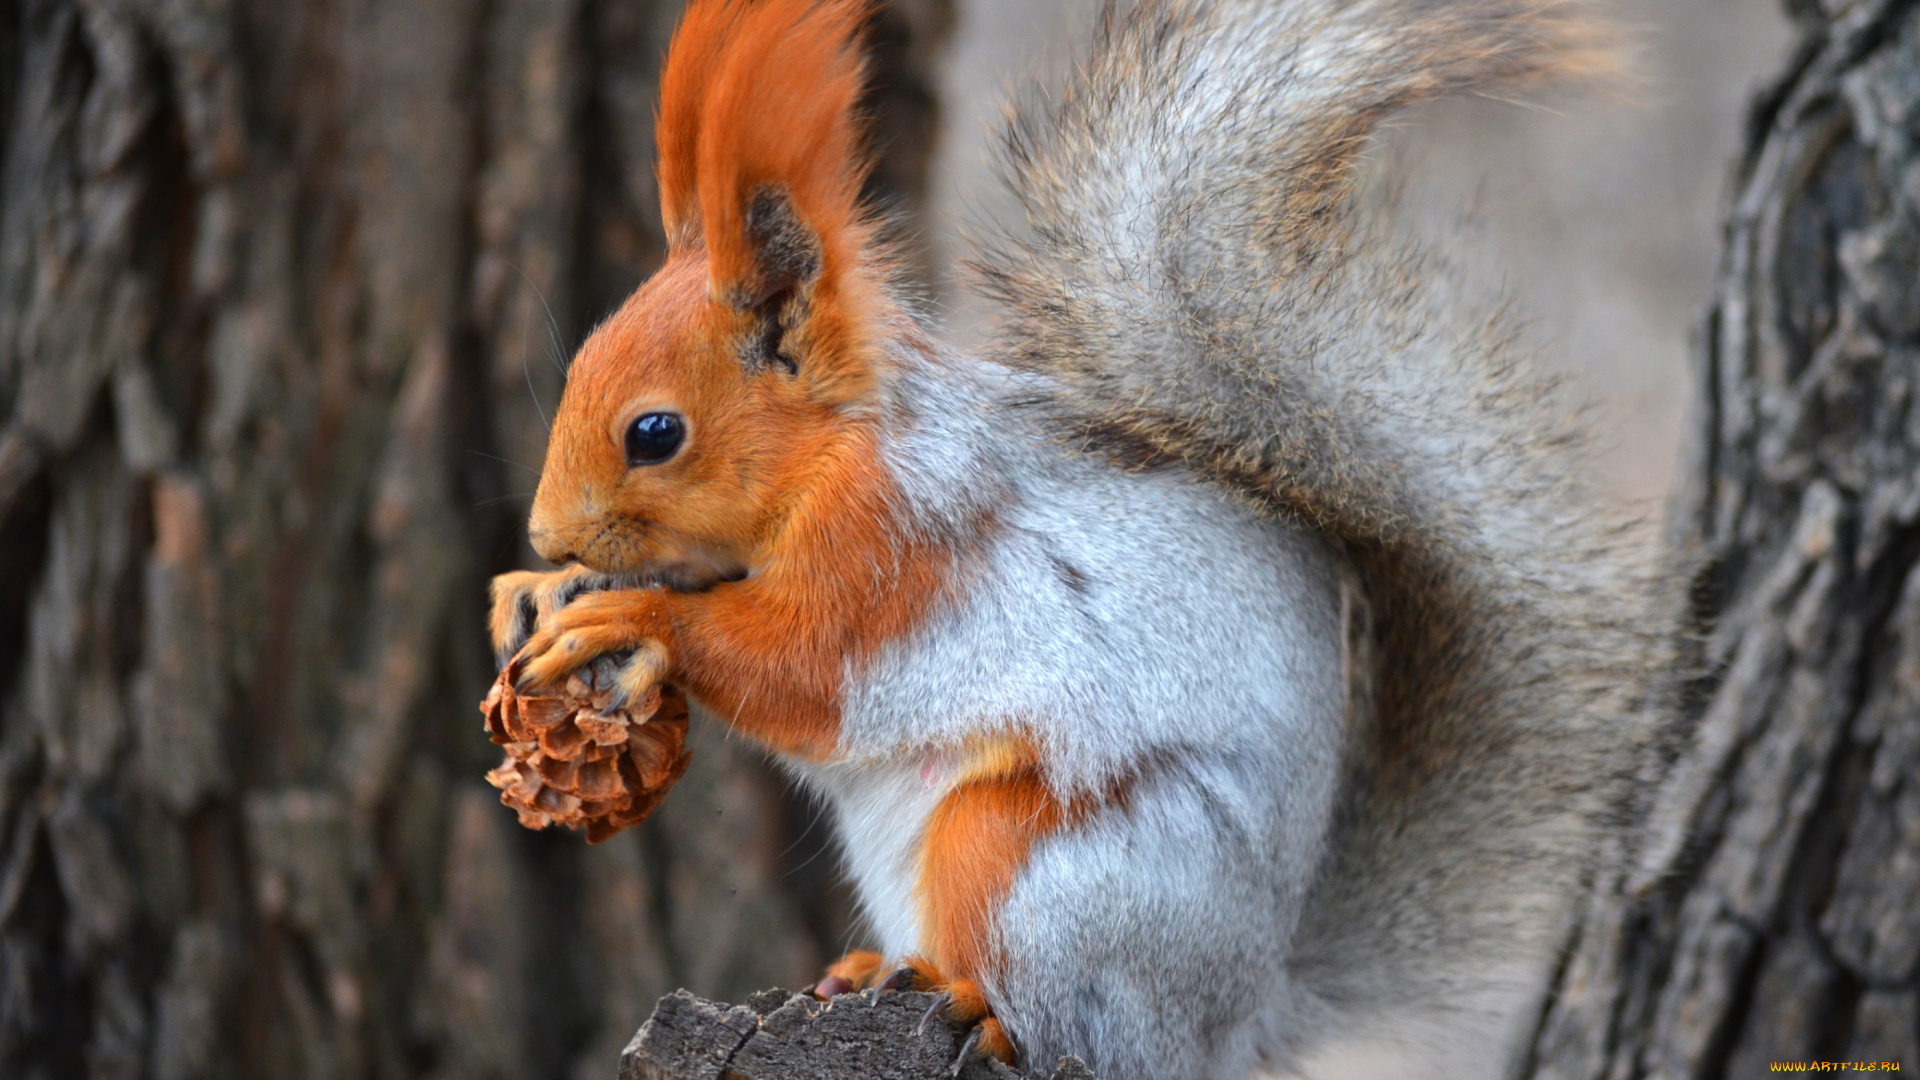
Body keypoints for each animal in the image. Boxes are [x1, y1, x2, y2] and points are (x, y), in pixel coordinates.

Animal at [491, 2, 1666, 1076]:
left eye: (655, 433)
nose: (544, 527)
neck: (830, 450)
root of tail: (1236, 1017)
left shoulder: (894, 549)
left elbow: (806, 670)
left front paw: (629, 615)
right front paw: (536, 588)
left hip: (1035, 864)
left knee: (1076, 1023)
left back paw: (982, 1009)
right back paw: (878, 969)